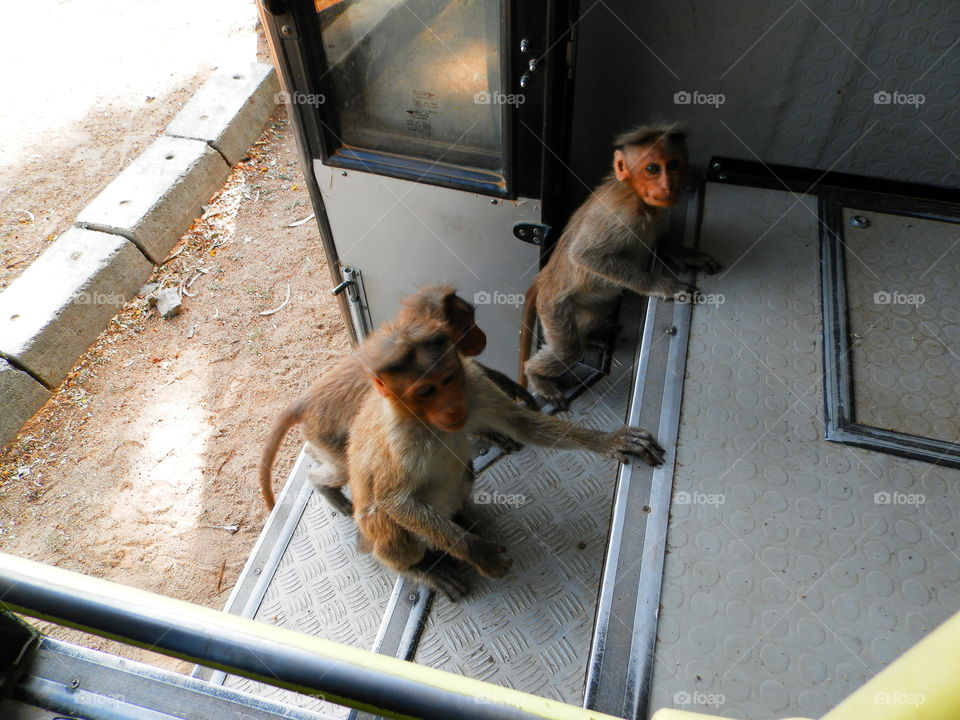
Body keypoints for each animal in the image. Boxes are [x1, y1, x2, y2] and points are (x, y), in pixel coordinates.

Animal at [259, 286, 537, 513]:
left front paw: (512, 388)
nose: (482, 336)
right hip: (326, 434)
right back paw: (323, 487)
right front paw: (495, 435)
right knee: (341, 468)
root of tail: (306, 401)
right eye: (468, 325)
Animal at [348, 318, 666, 600]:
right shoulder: (399, 438)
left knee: (465, 471)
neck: (428, 423)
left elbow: (521, 423)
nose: (451, 407)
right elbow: (394, 500)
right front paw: (478, 553)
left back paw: (460, 516)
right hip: (386, 538)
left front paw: (608, 441)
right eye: (426, 391)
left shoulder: (472, 385)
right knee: (389, 525)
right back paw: (420, 569)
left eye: (448, 380)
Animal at [519, 124, 721, 407]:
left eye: (673, 164)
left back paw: (589, 336)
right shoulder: (624, 215)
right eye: (652, 169)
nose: (668, 186)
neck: (639, 196)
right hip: (552, 305)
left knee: (600, 307)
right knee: (568, 349)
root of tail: (545, 274)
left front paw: (684, 253)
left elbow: (660, 238)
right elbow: (586, 255)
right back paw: (536, 374)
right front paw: (663, 286)